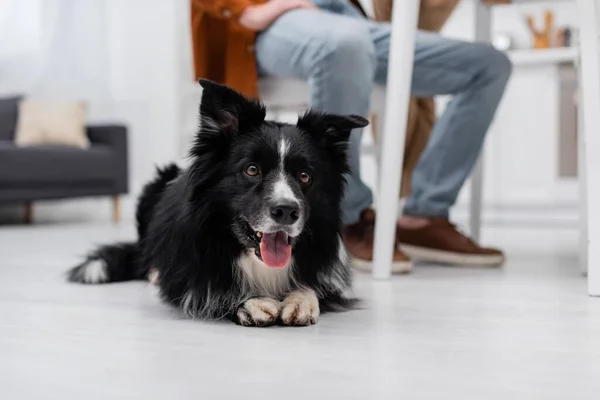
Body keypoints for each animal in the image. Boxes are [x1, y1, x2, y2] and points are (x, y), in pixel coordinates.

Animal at [65, 79, 368, 326]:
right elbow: (208, 292)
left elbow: (315, 285)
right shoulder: (188, 276)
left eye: (305, 176)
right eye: (251, 170)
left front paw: (302, 300)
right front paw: (251, 303)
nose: (286, 211)